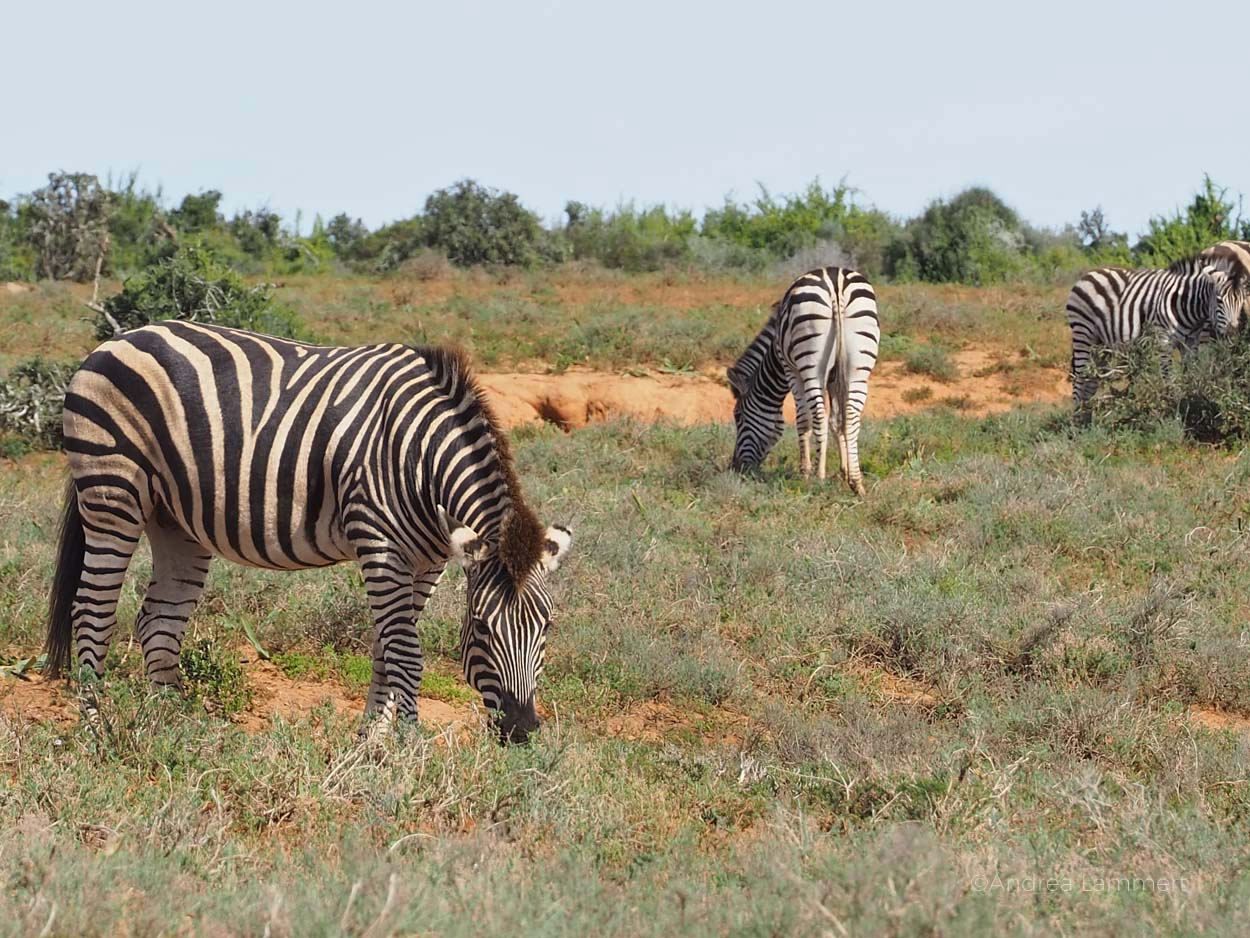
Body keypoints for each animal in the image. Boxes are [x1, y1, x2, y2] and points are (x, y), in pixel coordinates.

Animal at [45, 321, 573, 743]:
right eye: (481, 627)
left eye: (547, 626)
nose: (522, 731)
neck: (416, 455)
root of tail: (117, 339)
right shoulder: (379, 545)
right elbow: (405, 654)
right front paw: (408, 747)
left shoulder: (429, 561)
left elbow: (385, 648)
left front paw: (369, 743)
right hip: (112, 494)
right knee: (91, 613)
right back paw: (97, 732)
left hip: (174, 520)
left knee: (158, 621)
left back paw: (174, 727)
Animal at [727, 267, 880, 494]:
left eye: (738, 416)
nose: (736, 467)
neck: (774, 352)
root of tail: (836, 282)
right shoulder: (834, 377)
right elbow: (837, 420)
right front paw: (844, 472)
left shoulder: (790, 369)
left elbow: (803, 419)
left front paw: (806, 472)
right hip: (859, 365)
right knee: (851, 415)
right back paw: (856, 482)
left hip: (810, 363)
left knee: (818, 414)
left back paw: (818, 477)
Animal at [1066, 256, 1239, 406]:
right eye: (1219, 300)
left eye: (1240, 301)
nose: (1231, 333)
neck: (1185, 303)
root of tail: (1087, 275)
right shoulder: (1163, 340)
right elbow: (1168, 374)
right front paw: (1173, 404)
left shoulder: (1191, 342)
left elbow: (1190, 373)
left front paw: (1191, 399)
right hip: (1083, 333)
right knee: (1080, 377)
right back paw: (1078, 419)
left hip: (1100, 343)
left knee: (1091, 379)